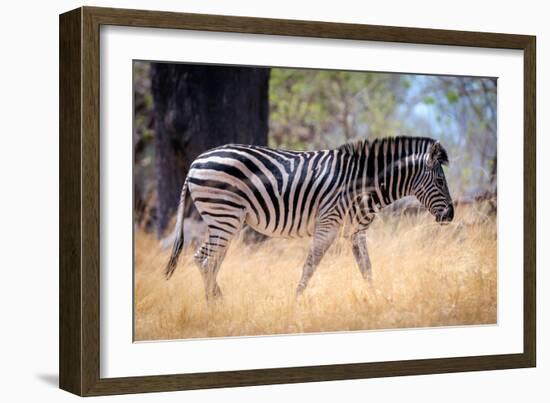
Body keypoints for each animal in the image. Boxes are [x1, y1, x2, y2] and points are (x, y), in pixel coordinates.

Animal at [165, 136, 458, 300]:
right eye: (440, 181)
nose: (451, 216)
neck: (364, 184)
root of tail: (195, 162)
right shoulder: (327, 224)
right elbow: (309, 266)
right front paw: (296, 302)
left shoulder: (356, 232)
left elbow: (367, 269)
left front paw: (377, 299)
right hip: (224, 216)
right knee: (203, 259)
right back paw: (216, 305)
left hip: (227, 221)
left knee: (212, 261)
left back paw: (218, 303)